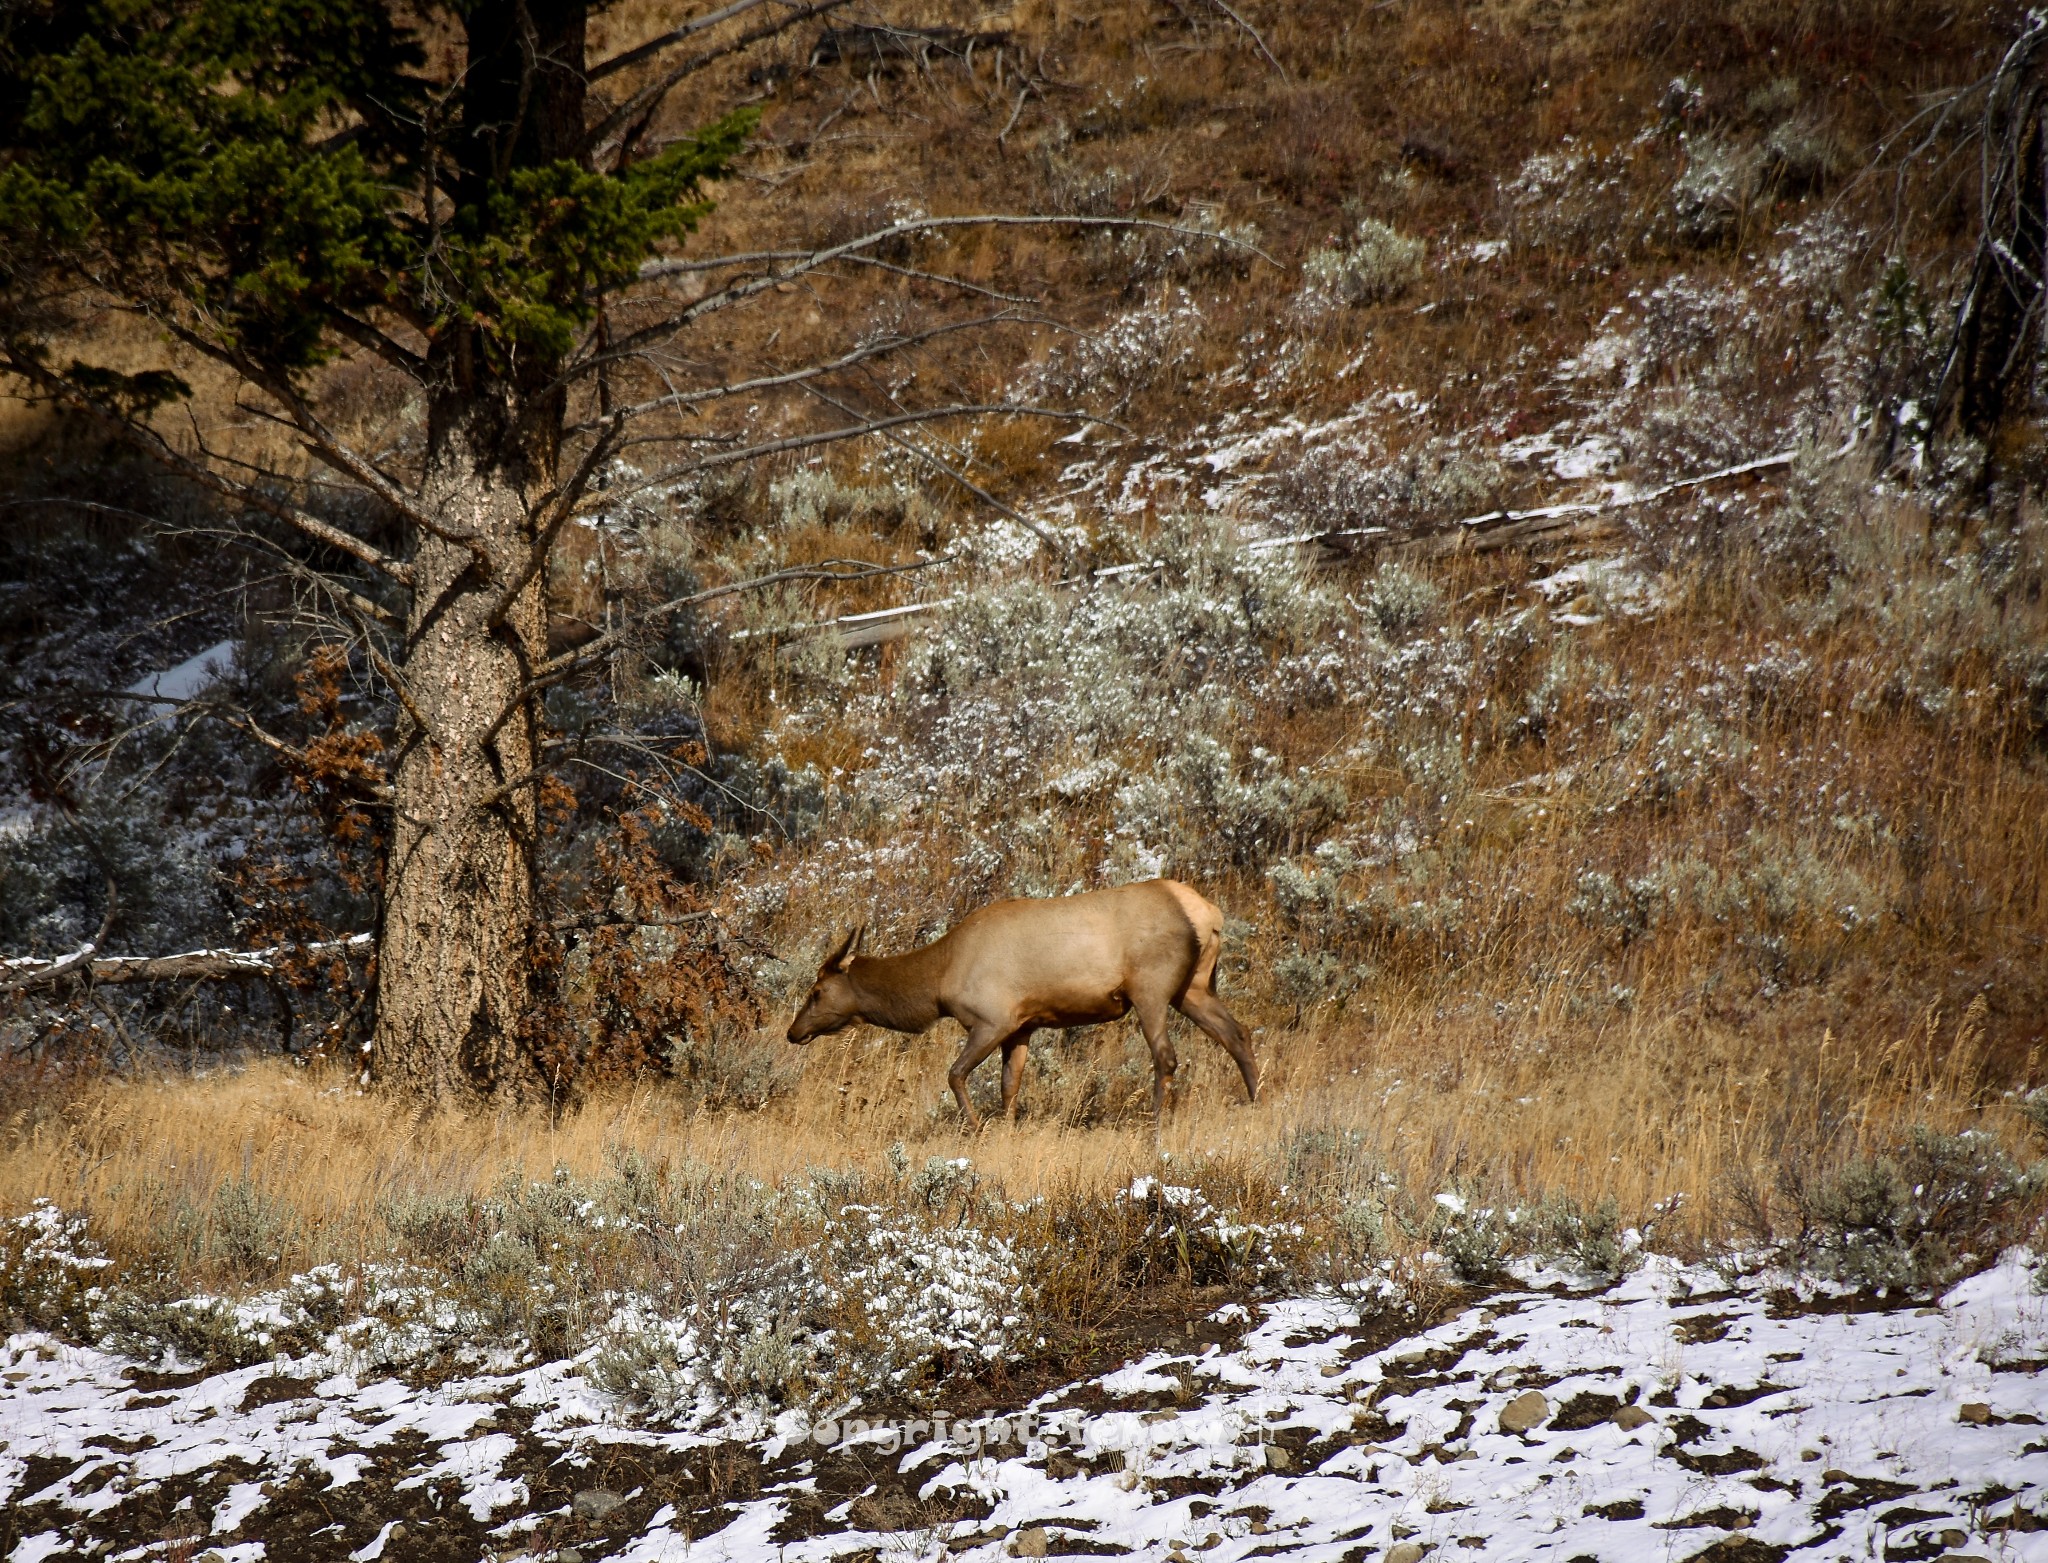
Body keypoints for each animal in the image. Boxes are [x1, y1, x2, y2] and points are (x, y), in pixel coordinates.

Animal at [786, 880, 1253, 1122]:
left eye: (816, 991)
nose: (793, 1032)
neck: (938, 979)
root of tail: (1208, 914)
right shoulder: (1022, 1025)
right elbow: (1010, 1086)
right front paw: (1005, 1128)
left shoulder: (992, 1019)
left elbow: (955, 1074)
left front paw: (975, 1126)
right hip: (1194, 988)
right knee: (1238, 1034)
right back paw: (1255, 1100)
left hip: (1151, 988)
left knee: (1166, 1055)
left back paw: (1153, 1123)